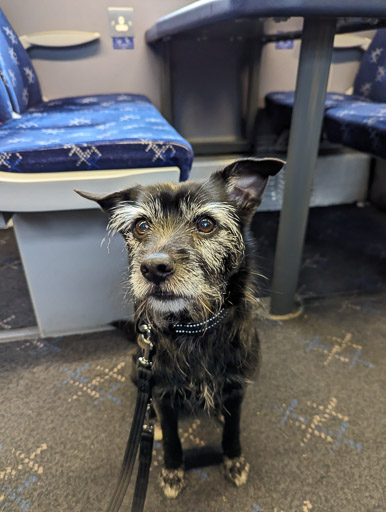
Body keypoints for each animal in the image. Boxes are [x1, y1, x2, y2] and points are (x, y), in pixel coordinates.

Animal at [77, 158, 284, 498]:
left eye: (205, 224)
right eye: (141, 226)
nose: (153, 268)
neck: (195, 327)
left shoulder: (236, 388)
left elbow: (233, 429)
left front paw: (234, 460)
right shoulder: (163, 393)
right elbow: (173, 436)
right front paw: (172, 470)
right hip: (136, 367)